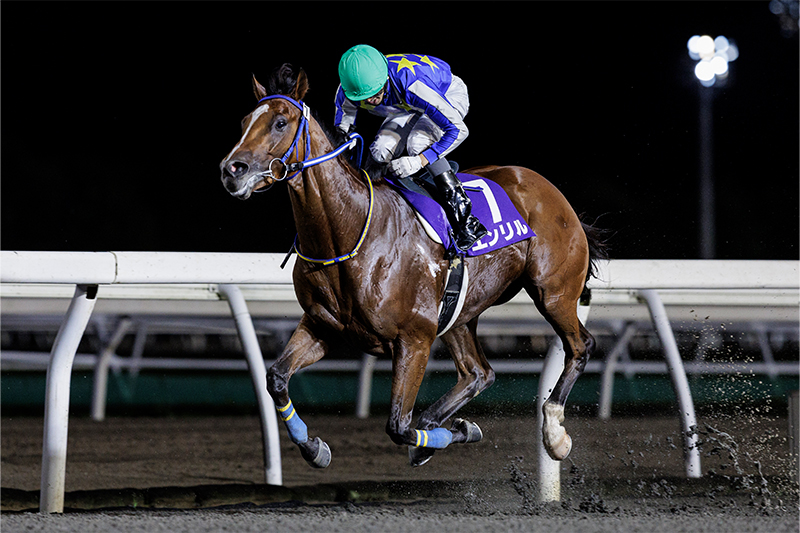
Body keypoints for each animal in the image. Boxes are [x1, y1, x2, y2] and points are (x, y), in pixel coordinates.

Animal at [219, 64, 607, 469]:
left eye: (280, 122)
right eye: (245, 121)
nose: (232, 169)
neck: (350, 231)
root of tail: (550, 190)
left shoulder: (414, 339)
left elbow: (398, 425)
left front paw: (458, 432)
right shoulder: (322, 325)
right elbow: (276, 378)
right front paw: (314, 447)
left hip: (554, 292)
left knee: (580, 346)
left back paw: (554, 434)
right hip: (460, 313)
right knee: (477, 373)